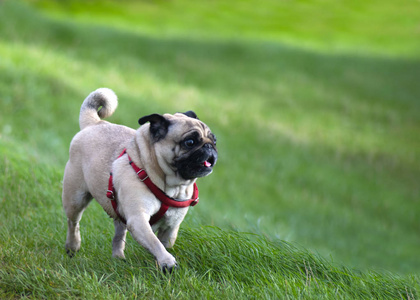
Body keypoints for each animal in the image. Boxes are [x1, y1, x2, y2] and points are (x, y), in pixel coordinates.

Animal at [64, 88, 218, 272]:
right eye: (190, 142)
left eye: (214, 140)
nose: (209, 146)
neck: (172, 186)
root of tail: (95, 123)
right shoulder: (138, 219)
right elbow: (154, 242)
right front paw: (167, 262)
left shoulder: (171, 227)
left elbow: (163, 244)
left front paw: (160, 263)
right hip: (75, 198)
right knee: (73, 223)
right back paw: (72, 247)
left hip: (119, 211)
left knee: (118, 235)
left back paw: (118, 258)